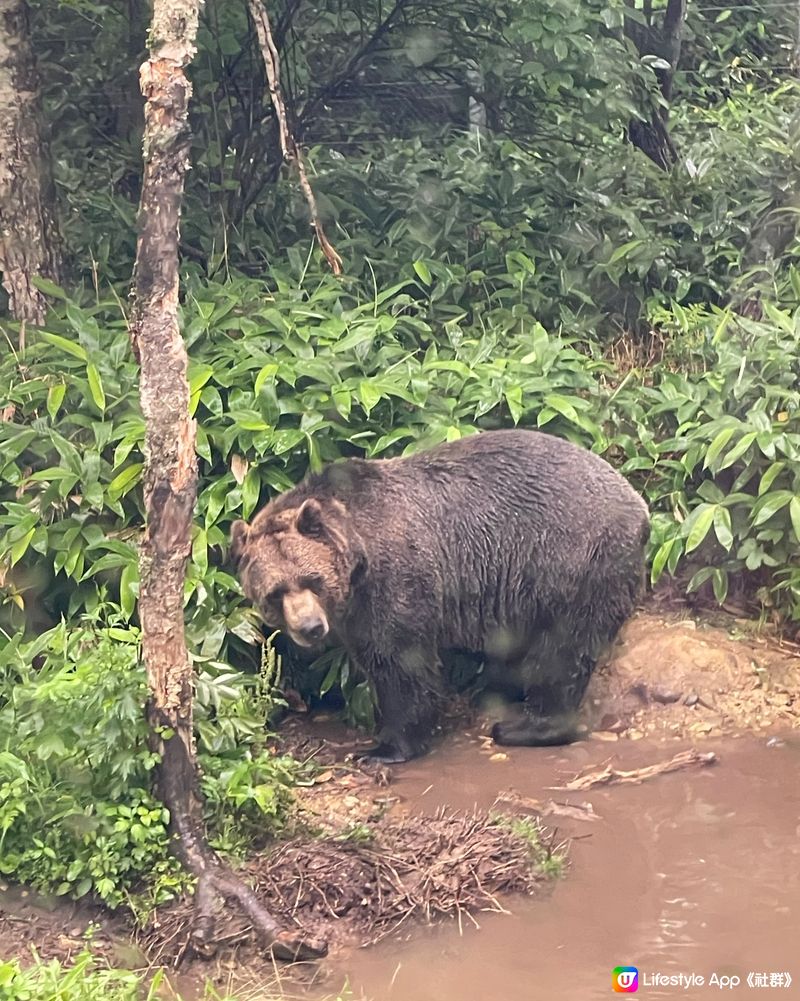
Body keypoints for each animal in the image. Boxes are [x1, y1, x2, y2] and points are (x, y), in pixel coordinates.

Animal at [230, 426, 648, 760]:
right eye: (274, 592)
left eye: (313, 579)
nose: (310, 627)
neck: (357, 552)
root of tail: (640, 506)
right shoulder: (355, 612)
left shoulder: (395, 580)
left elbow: (401, 664)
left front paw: (384, 748)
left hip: (575, 559)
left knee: (563, 650)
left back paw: (526, 726)